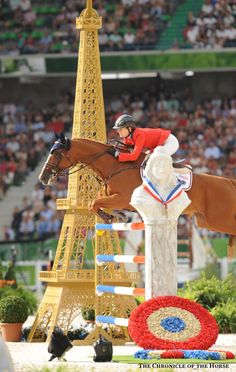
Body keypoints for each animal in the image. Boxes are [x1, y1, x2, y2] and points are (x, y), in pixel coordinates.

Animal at [39, 133, 236, 253]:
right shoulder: (110, 197)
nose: (43, 177)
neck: (114, 167)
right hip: (204, 221)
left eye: (56, 153)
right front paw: (116, 216)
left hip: (217, 219)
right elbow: (93, 204)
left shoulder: (122, 199)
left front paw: (112, 217)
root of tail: (228, 181)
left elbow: (93, 203)